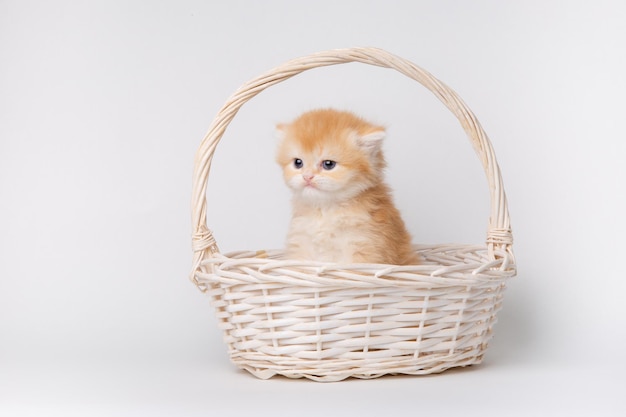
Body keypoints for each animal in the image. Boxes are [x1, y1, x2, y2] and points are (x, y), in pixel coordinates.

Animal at [274, 107, 416, 264]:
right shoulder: (300, 245)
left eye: (328, 164)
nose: (307, 176)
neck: (325, 210)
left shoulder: (364, 246)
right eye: (298, 162)